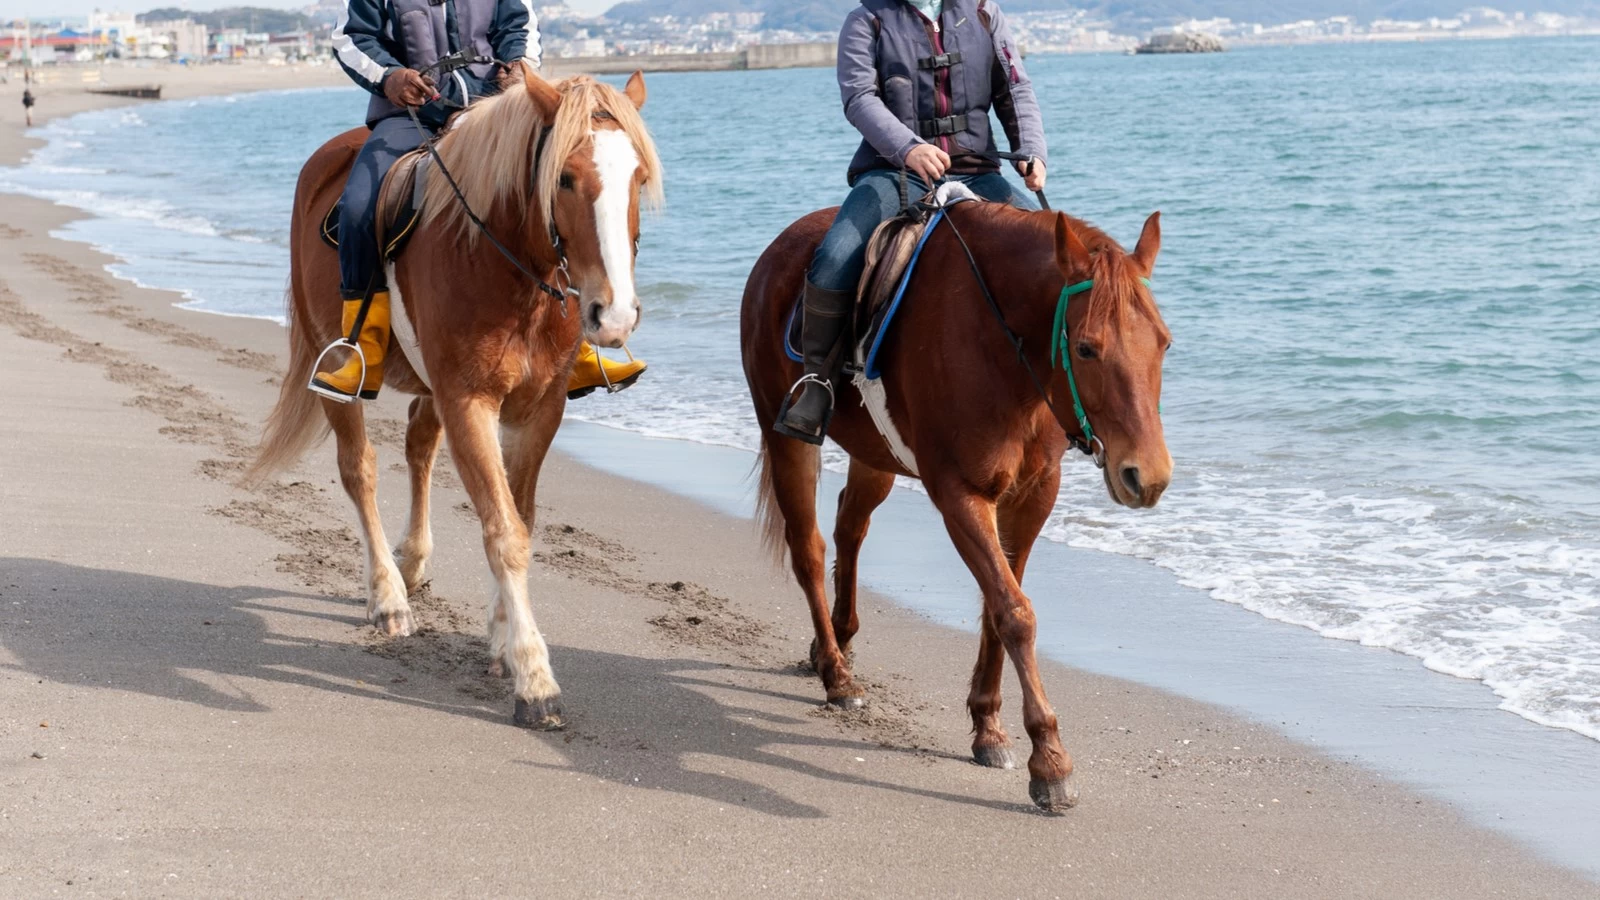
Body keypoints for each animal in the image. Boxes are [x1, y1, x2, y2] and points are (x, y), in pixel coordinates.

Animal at [247, 64, 663, 729]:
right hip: (335, 365)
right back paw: (388, 596)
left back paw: (413, 562)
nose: (614, 314)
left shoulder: (538, 410)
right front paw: (534, 677)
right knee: (359, 470)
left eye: (639, 177)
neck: (506, 266)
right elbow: (504, 533)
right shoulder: (469, 401)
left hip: (431, 388)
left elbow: (519, 517)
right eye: (565, 178)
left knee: (419, 447)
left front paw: (501, 639)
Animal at [739, 200, 1172, 810]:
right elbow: (1014, 612)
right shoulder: (960, 496)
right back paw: (836, 675)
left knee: (850, 526)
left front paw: (989, 727)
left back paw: (839, 643)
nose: (1147, 476)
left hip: (876, 456)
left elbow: (999, 605)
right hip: (788, 440)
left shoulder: (1032, 496)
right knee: (809, 548)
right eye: (1087, 347)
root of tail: (776, 251)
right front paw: (1050, 759)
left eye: (1163, 342)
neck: (1005, 348)